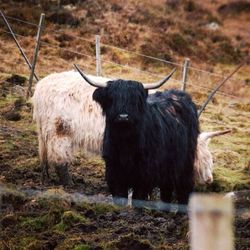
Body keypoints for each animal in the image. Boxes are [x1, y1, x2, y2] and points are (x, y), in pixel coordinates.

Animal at [74, 65, 199, 204]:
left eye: (134, 100)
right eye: (112, 98)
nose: (123, 117)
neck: (125, 143)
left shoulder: (144, 176)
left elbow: (138, 198)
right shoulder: (114, 173)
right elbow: (120, 197)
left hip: (185, 163)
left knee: (183, 188)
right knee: (166, 191)